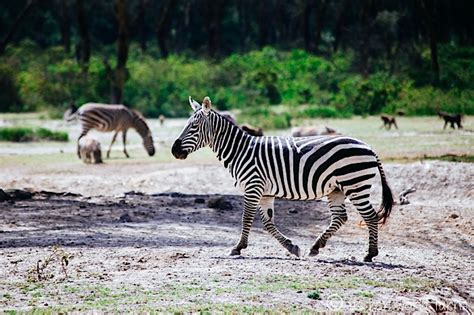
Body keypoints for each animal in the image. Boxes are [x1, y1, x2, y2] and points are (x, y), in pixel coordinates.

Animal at [172, 97, 394, 264]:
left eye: (193, 127)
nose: (174, 151)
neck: (240, 151)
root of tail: (369, 147)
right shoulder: (265, 192)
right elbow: (267, 223)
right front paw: (291, 246)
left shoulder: (252, 186)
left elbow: (246, 218)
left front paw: (238, 247)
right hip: (336, 189)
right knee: (341, 217)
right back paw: (316, 247)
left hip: (355, 185)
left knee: (370, 216)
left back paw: (370, 254)